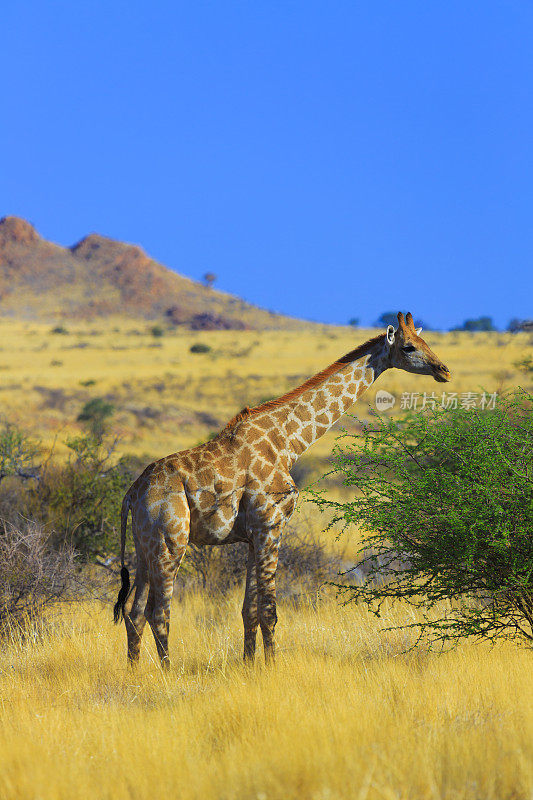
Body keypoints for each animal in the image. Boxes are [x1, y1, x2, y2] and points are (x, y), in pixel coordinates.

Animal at [113, 310, 448, 664]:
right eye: (409, 347)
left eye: (427, 341)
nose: (444, 370)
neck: (289, 443)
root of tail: (132, 493)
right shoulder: (271, 525)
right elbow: (269, 611)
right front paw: (272, 667)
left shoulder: (252, 536)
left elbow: (249, 611)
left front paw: (250, 667)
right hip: (171, 541)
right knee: (158, 612)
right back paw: (167, 672)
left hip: (145, 546)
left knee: (134, 613)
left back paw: (135, 671)